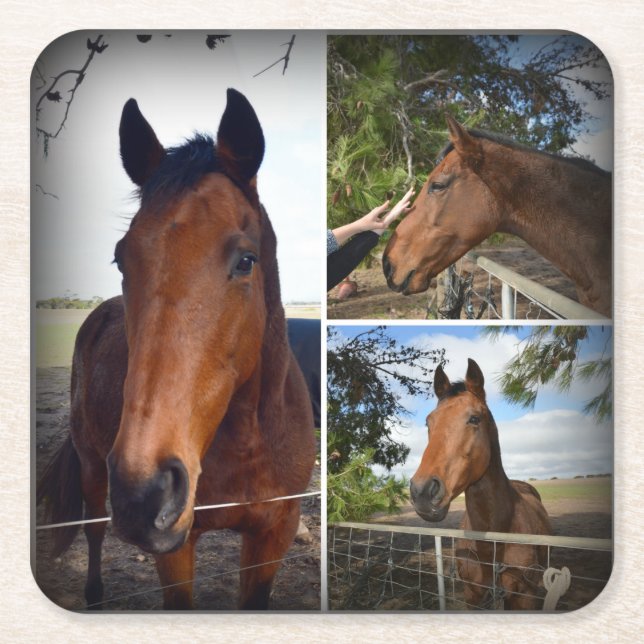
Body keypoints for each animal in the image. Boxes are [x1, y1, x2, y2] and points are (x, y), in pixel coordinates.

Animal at [36, 89, 316, 610]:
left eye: (246, 260)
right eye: (120, 259)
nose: (144, 493)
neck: (247, 439)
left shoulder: (273, 534)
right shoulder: (175, 547)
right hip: (92, 466)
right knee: (94, 530)